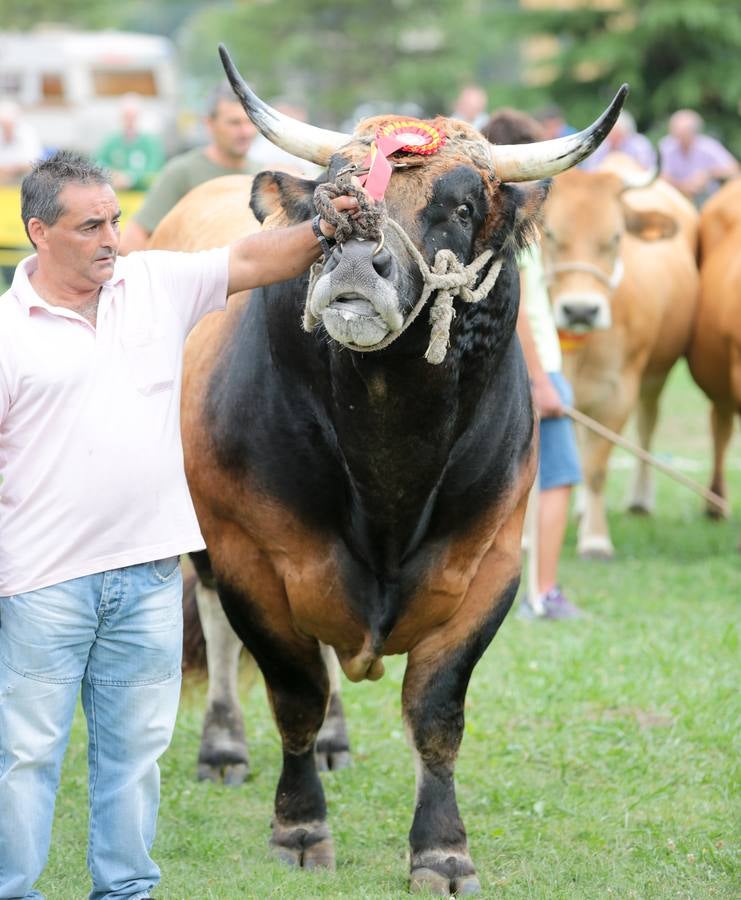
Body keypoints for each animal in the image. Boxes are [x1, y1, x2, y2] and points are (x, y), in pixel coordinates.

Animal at [173, 47, 624, 892]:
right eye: (330, 194)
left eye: (459, 207)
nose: (355, 257)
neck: (388, 465)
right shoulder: (252, 555)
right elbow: (293, 689)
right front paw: (299, 826)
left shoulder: (488, 564)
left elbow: (435, 712)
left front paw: (442, 849)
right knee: (218, 627)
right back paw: (223, 746)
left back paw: (335, 742)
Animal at [536, 157, 700, 560]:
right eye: (550, 233)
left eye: (615, 237)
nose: (581, 310)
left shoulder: (618, 392)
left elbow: (596, 467)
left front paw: (595, 539)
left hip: (654, 378)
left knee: (646, 428)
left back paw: (638, 500)